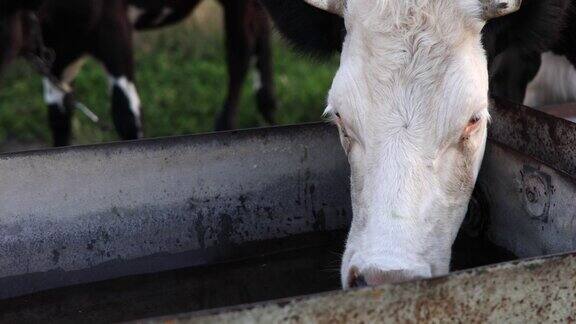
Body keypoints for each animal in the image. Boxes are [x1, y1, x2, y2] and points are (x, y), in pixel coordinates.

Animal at [0, 0, 276, 147]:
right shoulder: (58, 56)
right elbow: (59, 119)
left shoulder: (113, 27)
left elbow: (126, 115)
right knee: (261, 30)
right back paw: (268, 111)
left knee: (241, 50)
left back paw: (227, 125)